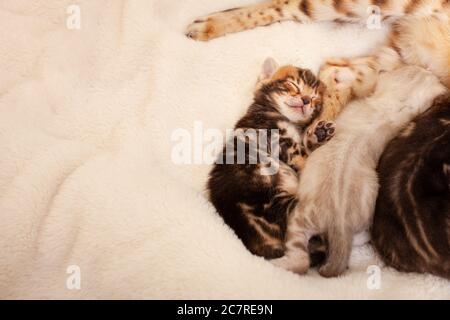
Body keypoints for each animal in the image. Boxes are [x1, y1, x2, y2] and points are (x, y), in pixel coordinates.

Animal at [207, 59, 334, 260]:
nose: (306, 100)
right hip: (278, 204)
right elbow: (304, 158)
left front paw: (318, 134)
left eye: (314, 98)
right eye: (294, 86)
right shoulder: (281, 141)